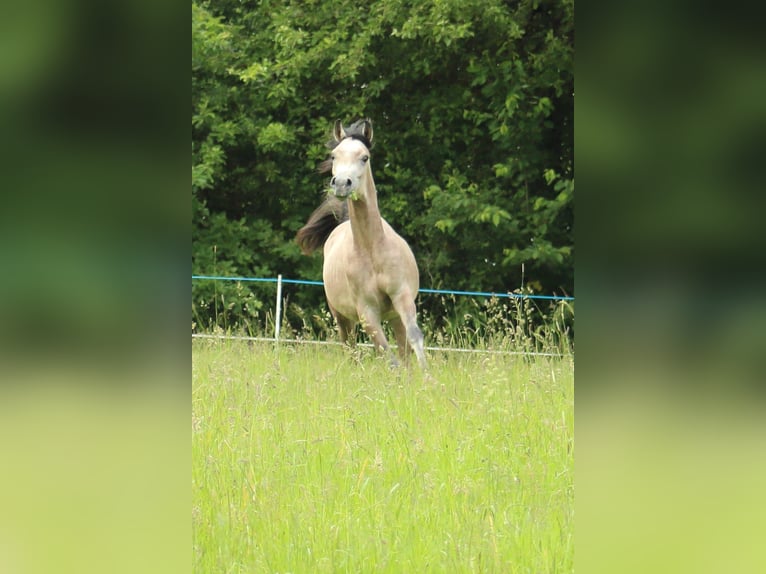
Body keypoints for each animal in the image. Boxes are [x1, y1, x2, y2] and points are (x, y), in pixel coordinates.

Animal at [296, 119, 428, 368]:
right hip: (342, 317)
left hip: (394, 317)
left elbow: (415, 339)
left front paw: (427, 376)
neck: (373, 250)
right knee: (352, 351)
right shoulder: (367, 314)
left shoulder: (403, 298)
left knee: (403, 349)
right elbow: (388, 356)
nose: (341, 184)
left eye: (364, 157)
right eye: (334, 155)